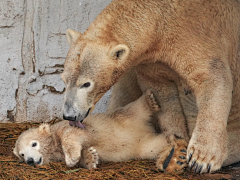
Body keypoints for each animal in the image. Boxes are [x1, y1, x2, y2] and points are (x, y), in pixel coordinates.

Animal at [13, 90, 188, 174]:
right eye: (22, 154)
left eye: (34, 144)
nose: (30, 160)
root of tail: (143, 129)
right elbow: (86, 155)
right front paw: (91, 157)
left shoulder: (73, 126)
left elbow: (72, 134)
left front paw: (72, 157)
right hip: (141, 144)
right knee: (152, 145)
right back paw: (173, 151)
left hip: (122, 118)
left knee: (133, 110)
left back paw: (150, 101)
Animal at [61, 0, 240, 174]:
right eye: (64, 80)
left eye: (86, 84)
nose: (69, 115)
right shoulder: (152, 61)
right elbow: (162, 94)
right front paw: (176, 146)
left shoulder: (196, 37)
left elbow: (212, 77)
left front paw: (202, 159)